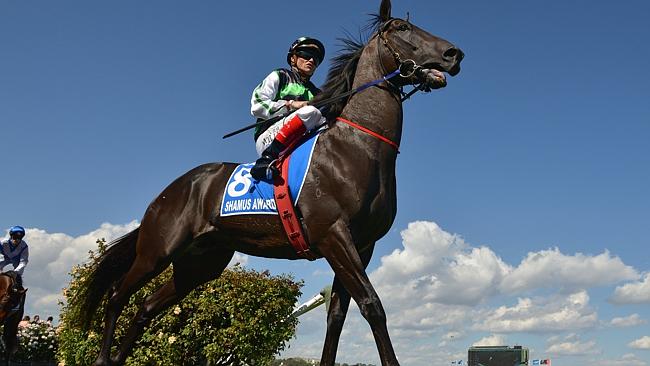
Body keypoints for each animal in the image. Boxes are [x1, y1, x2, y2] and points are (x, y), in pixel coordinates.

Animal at [79, 1, 460, 364]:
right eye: (400, 27)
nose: (454, 54)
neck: (357, 146)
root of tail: (169, 191)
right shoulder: (333, 235)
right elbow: (372, 305)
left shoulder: (362, 246)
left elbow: (337, 316)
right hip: (157, 251)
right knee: (117, 295)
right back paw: (102, 357)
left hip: (199, 264)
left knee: (144, 308)